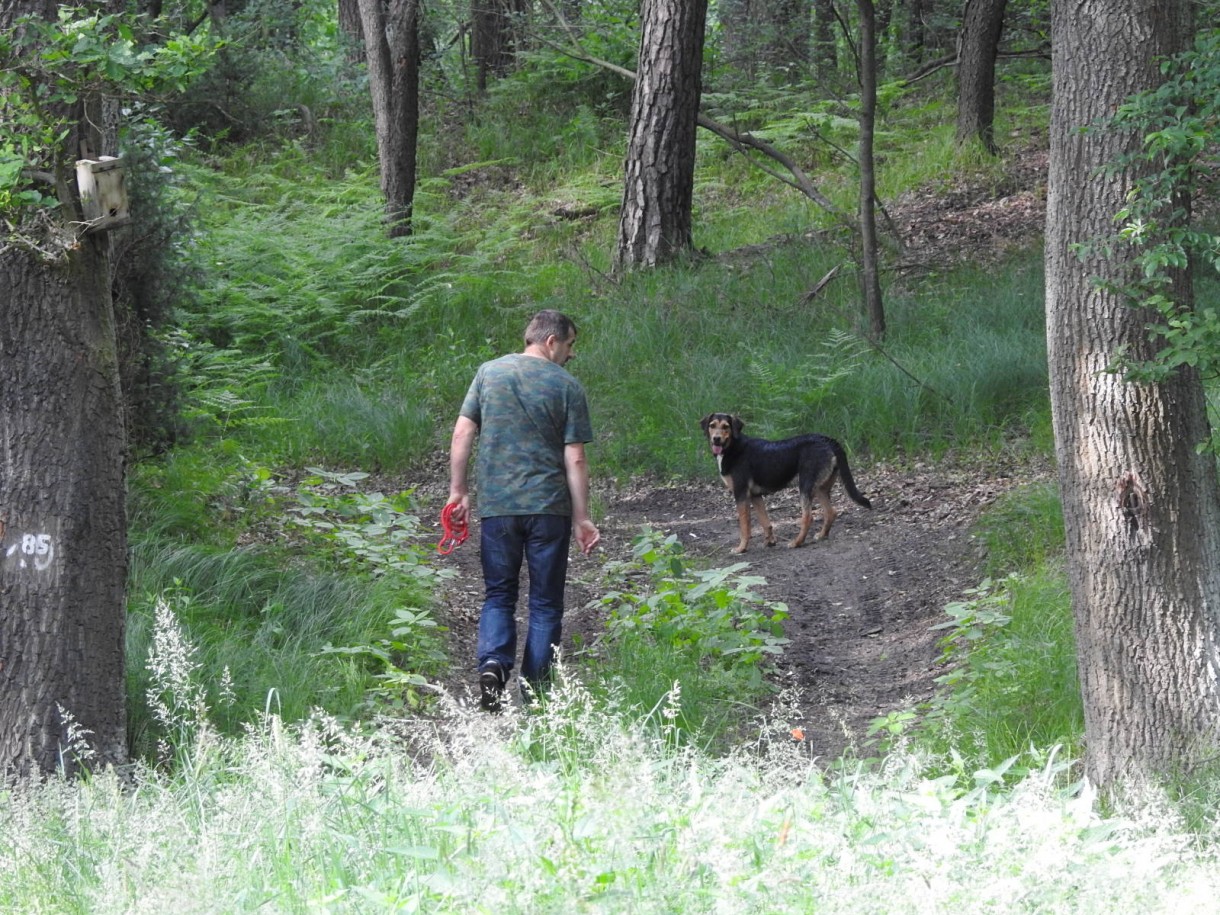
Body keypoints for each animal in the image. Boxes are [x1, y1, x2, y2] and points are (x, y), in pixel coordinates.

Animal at [702, 414, 873, 556]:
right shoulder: (755, 496)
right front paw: (770, 542)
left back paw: (797, 543)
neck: (733, 446)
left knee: (808, 517)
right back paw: (821, 535)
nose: (716, 439)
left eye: (726, 426)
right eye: (712, 425)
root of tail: (827, 440)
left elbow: (745, 527)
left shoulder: (741, 494)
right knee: (831, 512)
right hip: (819, 488)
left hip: (805, 486)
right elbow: (765, 522)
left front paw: (741, 548)